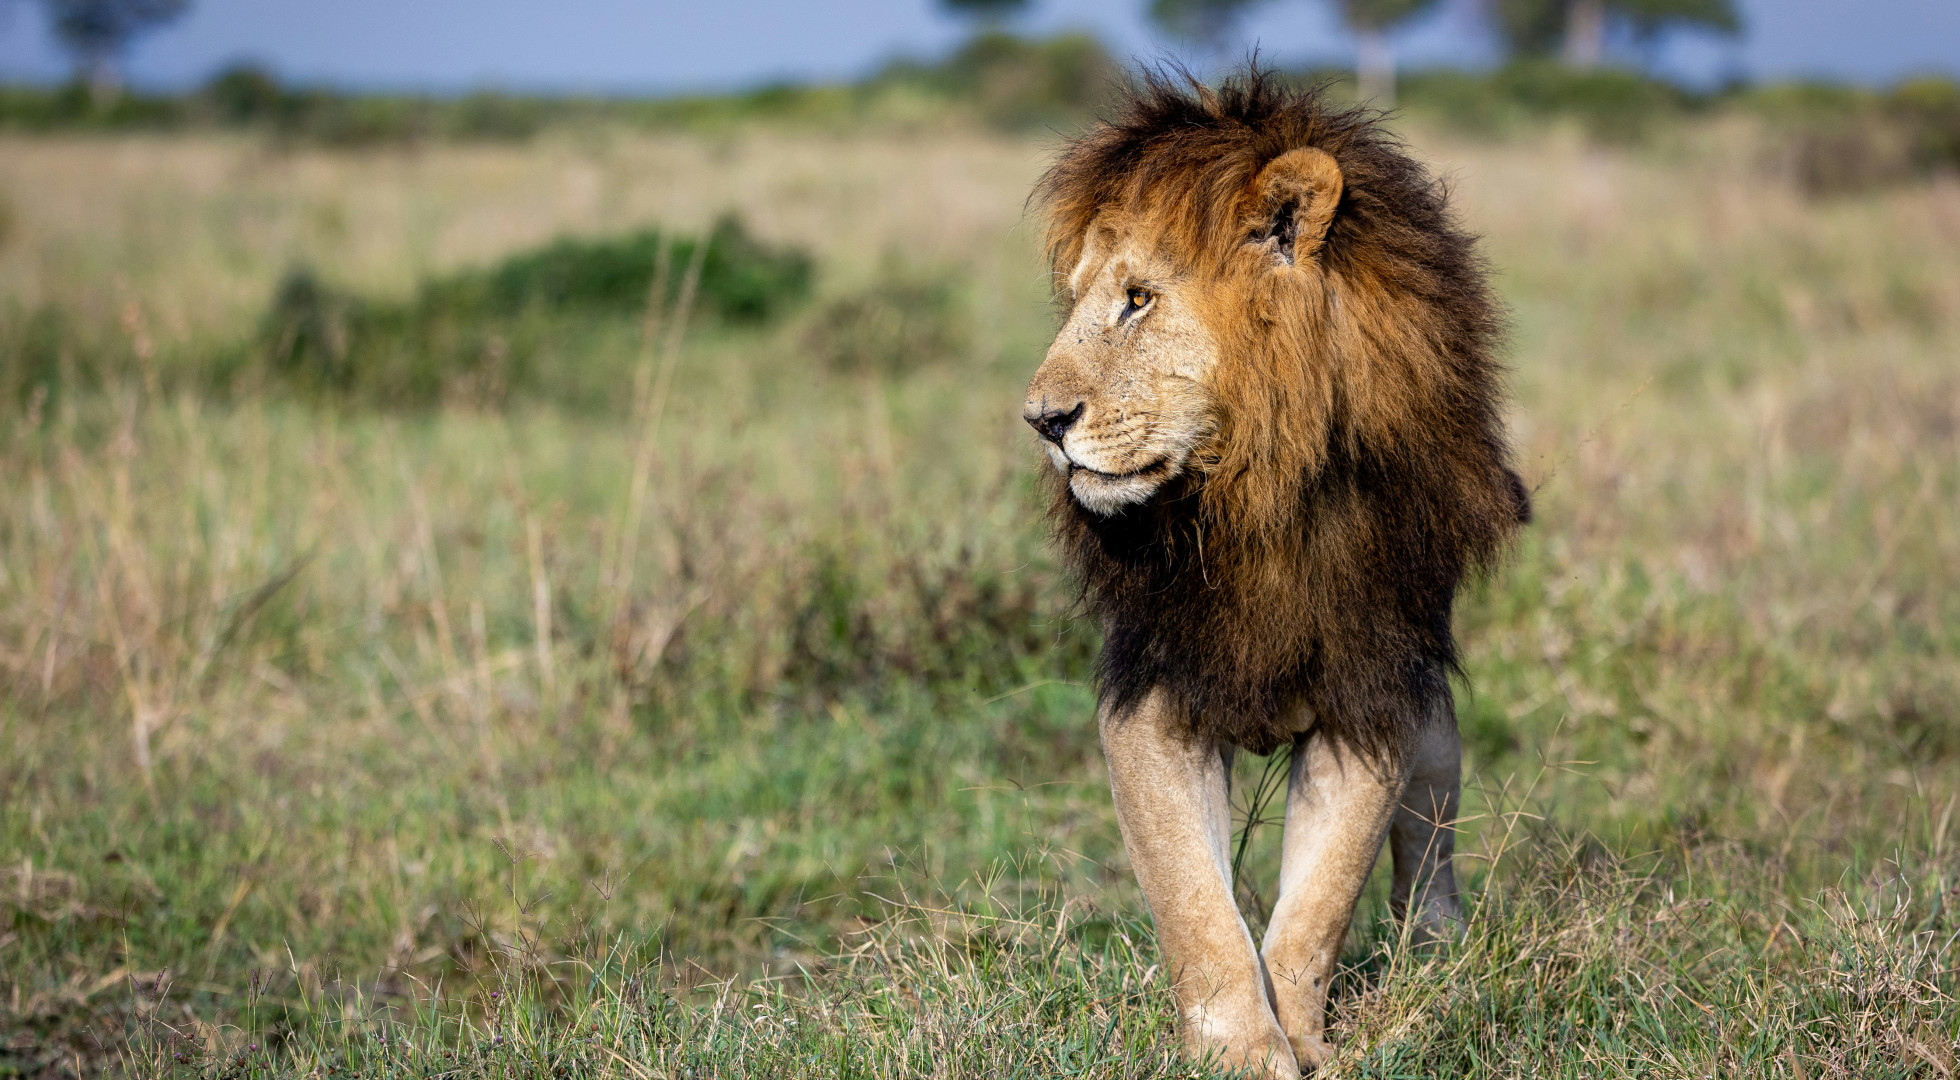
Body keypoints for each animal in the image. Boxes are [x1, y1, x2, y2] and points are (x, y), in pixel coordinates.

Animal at [1023, 70, 1530, 1076]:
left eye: (1138, 298)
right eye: (1078, 299)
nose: (1043, 421)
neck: (1248, 500)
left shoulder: (1370, 697)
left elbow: (1313, 915)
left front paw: (1303, 1045)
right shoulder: (1150, 698)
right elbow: (1197, 911)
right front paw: (1240, 1054)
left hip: (1430, 714)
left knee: (1431, 837)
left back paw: (1437, 948)